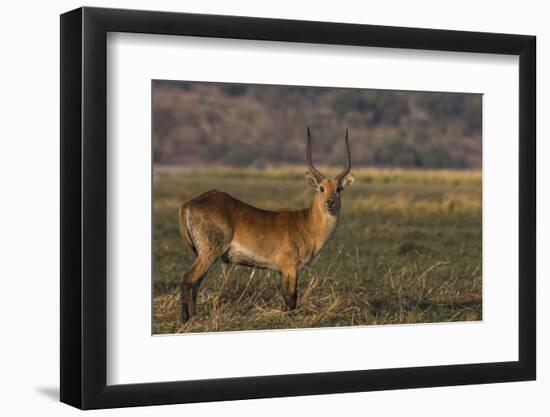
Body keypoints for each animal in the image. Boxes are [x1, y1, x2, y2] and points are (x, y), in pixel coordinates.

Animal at [179, 127, 356, 322]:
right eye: (321, 188)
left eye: (339, 189)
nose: (330, 202)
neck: (307, 224)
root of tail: (189, 204)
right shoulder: (290, 268)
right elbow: (291, 300)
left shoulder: (282, 271)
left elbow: (286, 298)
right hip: (209, 253)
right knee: (187, 279)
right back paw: (185, 320)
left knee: (195, 284)